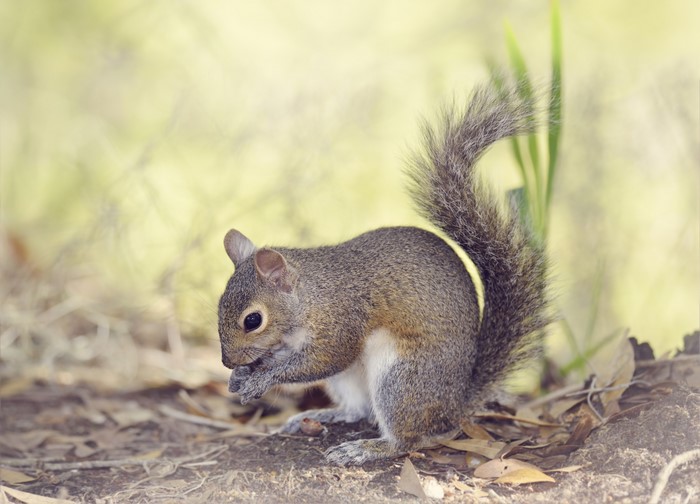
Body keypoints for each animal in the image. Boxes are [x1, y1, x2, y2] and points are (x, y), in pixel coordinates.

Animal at [217, 83, 551, 466]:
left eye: (252, 320)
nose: (227, 361)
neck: (309, 298)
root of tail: (455, 406)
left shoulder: (341, 322)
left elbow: (320, 360)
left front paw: (261, 380)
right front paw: (242, 375)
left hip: (402, 378)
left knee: (407, 439)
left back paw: (366, 448)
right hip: (351, 380)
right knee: (358, 410)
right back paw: (320, 415)